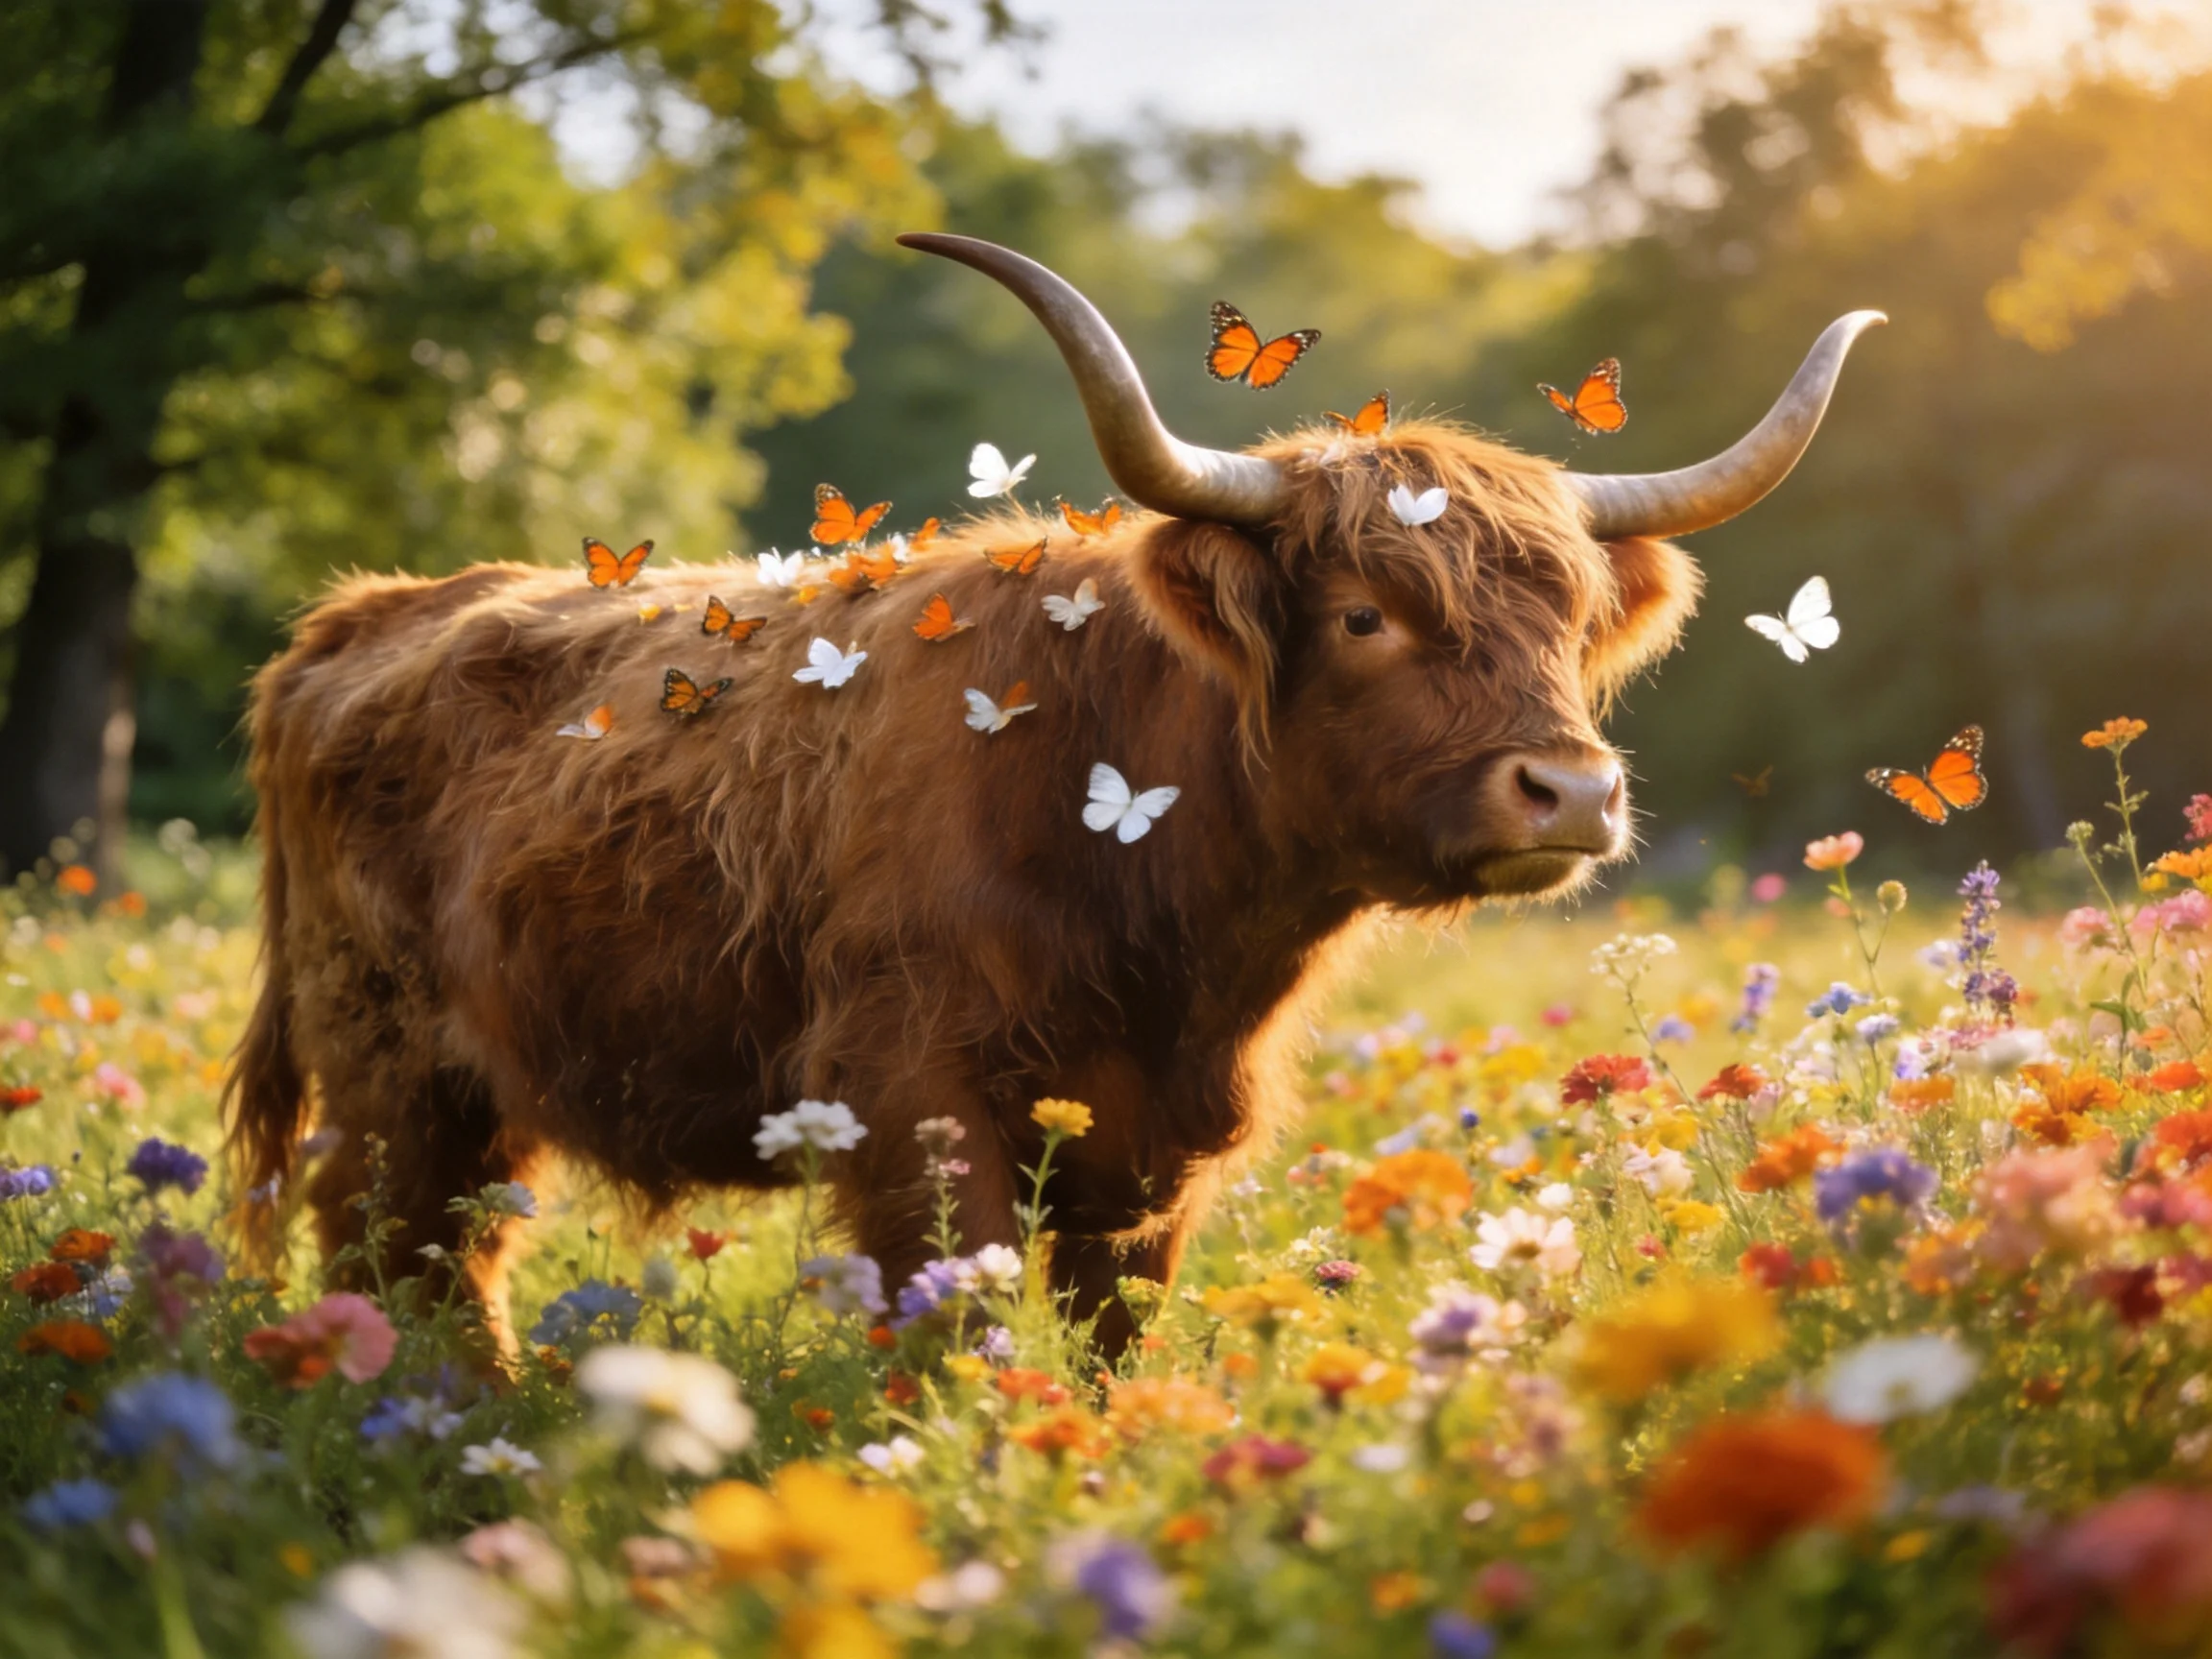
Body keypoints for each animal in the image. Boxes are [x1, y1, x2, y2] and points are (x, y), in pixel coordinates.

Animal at [226, 233, 1880, 1353]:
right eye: (1365, 615)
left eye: (1572, 624)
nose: (1570, 791)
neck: (1176, 934)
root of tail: (365, 613)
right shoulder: (910, 1101)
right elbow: (952, 1328)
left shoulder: (1154, 1154)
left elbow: (1108, 1348)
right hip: (384, 1060)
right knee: (387, 1250)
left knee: (448, 1255)